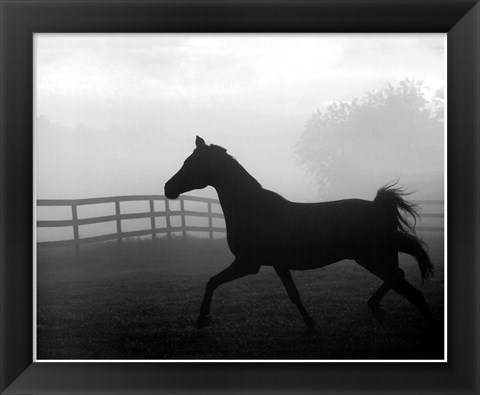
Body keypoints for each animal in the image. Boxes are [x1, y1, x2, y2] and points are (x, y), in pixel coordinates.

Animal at [165, 137, 438, 334]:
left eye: (191, 163)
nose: (168, 188)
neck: (252, 208)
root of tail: (376, 206)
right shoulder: (278, 264)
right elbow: (293, 295)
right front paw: (310, 324)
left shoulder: (247, 264)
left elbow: (212, 281)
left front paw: (202, 319)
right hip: (379, 259)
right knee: (399, 278)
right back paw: (376, 308)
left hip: (373, 259)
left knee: (412, 292)